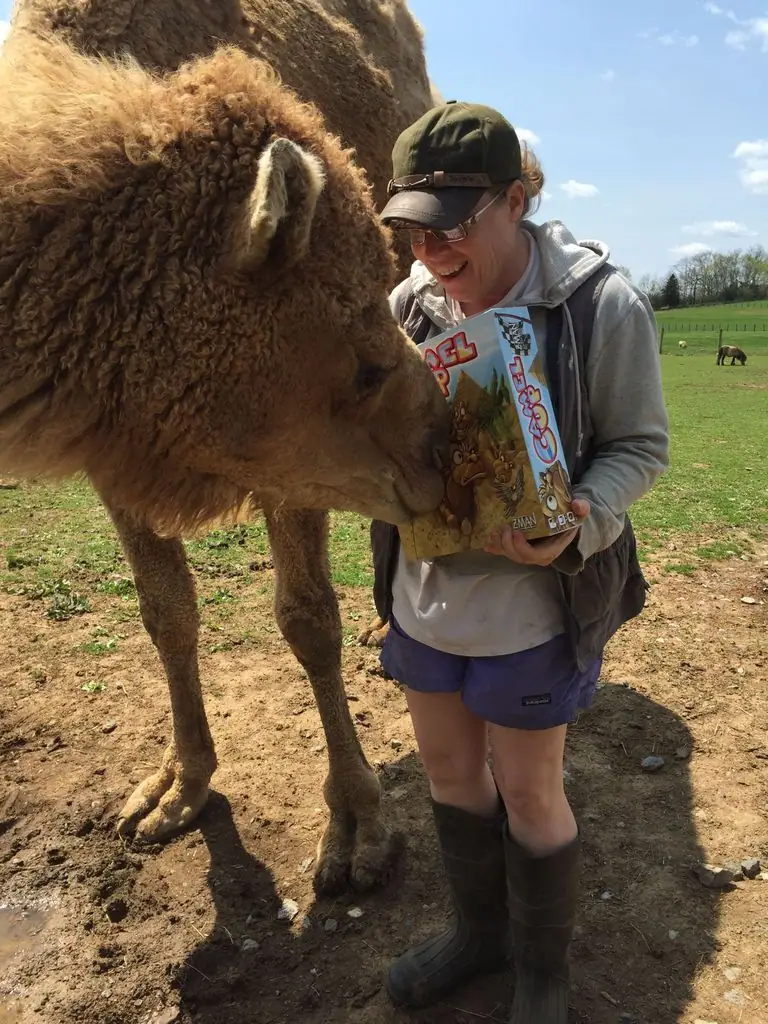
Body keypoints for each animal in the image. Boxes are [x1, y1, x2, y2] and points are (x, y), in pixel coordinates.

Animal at [1, 1, 446, 894]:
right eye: (360, 367)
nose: (439, 444)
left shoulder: (288, 471)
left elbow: (307, 619)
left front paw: (359, 828)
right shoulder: (119, 455)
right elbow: (166, 611)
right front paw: (176, 789)